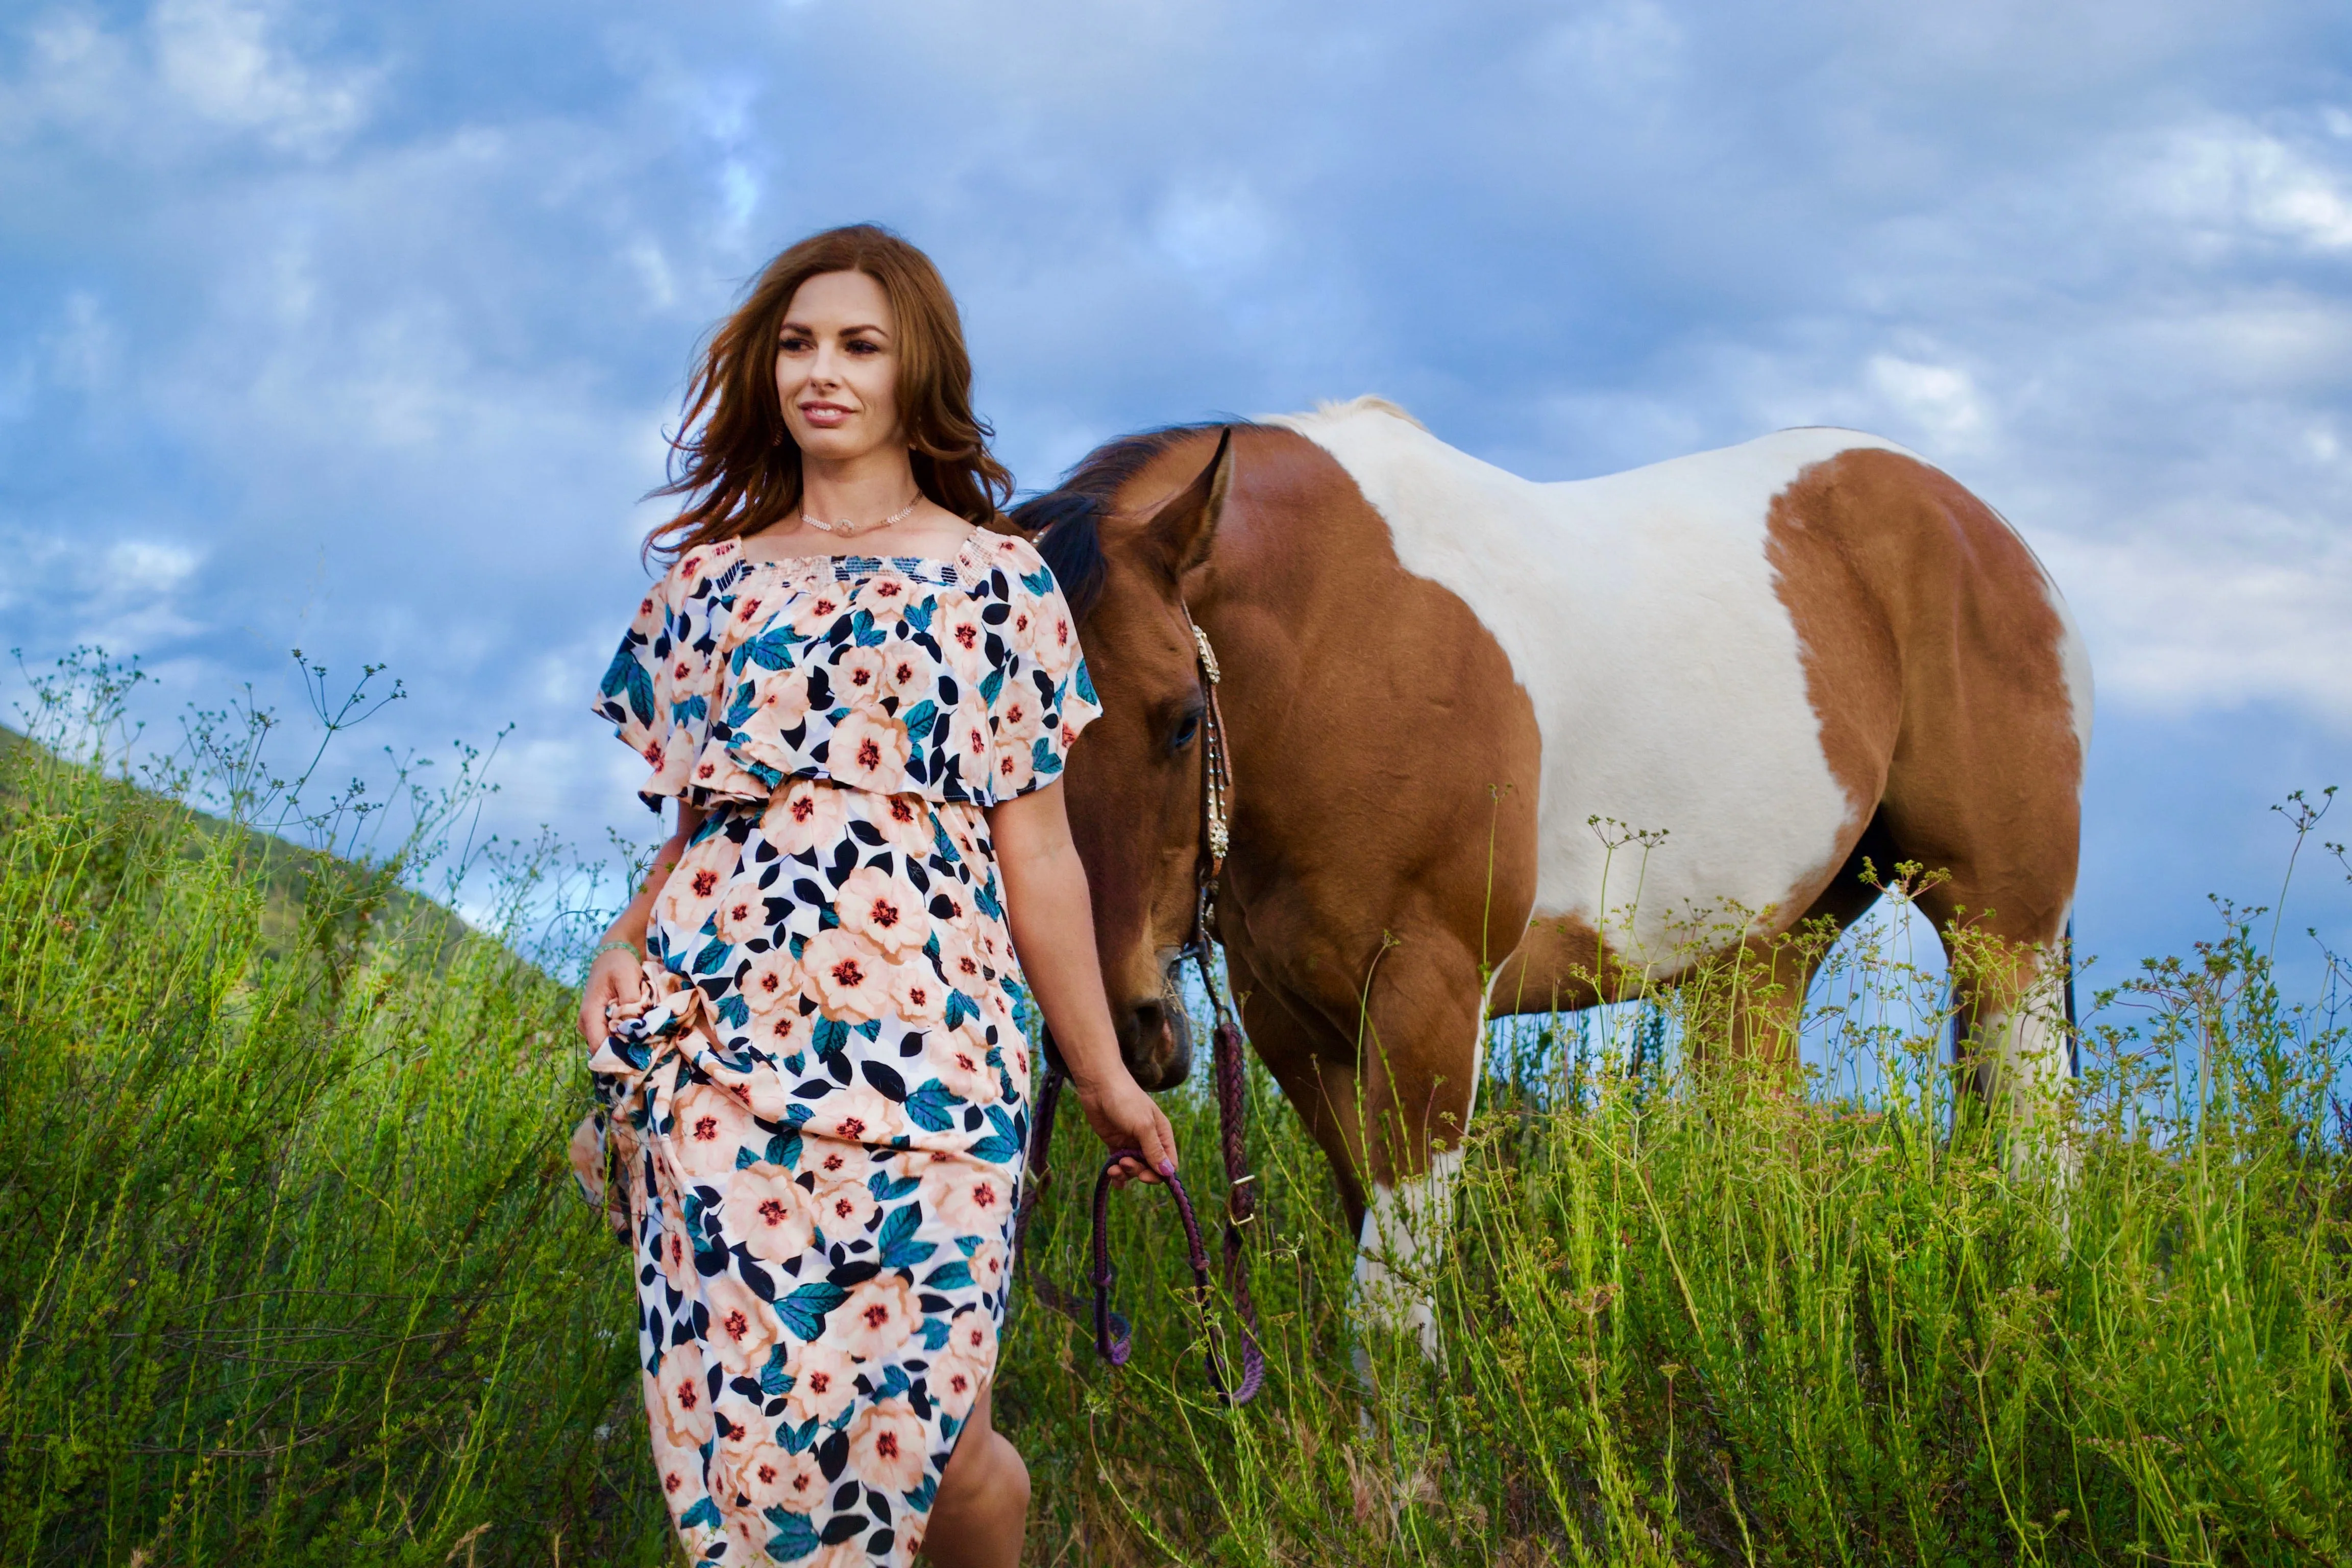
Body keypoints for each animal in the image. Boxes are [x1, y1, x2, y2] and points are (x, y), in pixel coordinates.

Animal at [1011, 399, 2098, 1354]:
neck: (1337, 646)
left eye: (1182, 718)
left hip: (2001, 929)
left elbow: (1388, 1321)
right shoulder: (1293, 1024)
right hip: (1759, 962)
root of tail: (1980, 527)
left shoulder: (1429, 1002)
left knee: (2034, 1139)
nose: (1121, 1035)